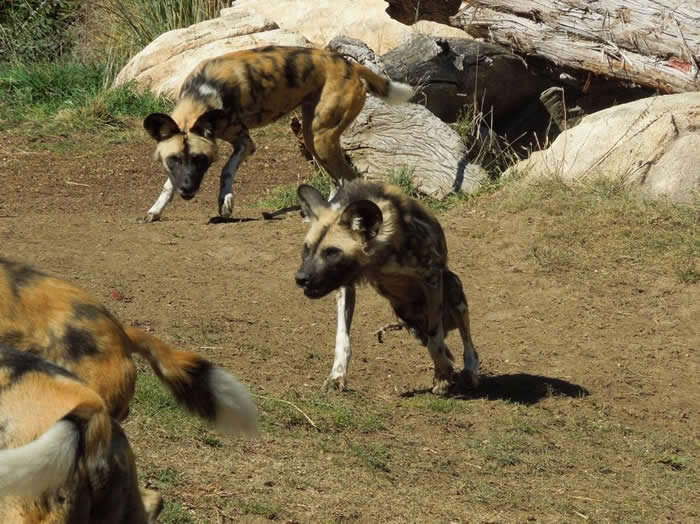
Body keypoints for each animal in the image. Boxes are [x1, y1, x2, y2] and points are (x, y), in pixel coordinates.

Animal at [143, 45, 416, 223]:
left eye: (200, 160)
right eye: (173, 161)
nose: (187, 190)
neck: (203, 93)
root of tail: (349, 64)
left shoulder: (245, 143)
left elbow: (226, 171)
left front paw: (225, 201)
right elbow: (168, 184)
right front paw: (156, 210)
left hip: (321, 137)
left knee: (346, 178)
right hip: (312, 137)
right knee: (336, 180)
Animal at [294, 180, 482, 392]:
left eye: (332, 252)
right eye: (307, 248)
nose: (300, 278)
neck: (379, 257)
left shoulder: (432, 278)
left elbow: (435, 340)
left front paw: (442, 375)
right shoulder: (345, 286)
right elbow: (342, 339)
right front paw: (337, 377)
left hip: (452, 286)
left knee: (465, 343)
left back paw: (469, 372)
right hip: (404, 316)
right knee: (429, 338)